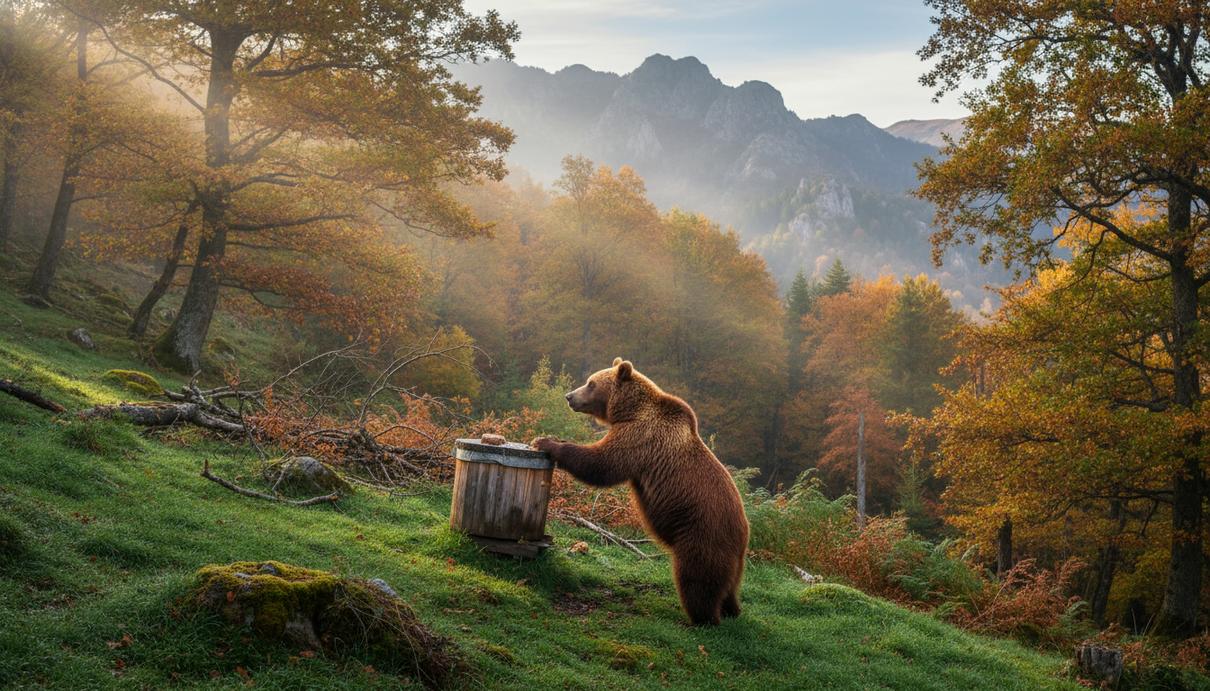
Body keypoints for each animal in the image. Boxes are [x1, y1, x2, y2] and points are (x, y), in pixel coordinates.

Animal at [532, 358, 749, 626]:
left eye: (591, 383)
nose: (569, 396)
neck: (629, 411)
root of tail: (743, 534)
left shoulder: (640, 437)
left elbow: (601, 463)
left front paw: (546, 442)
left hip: (702, 535)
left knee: (696, 580)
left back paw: (702, 619)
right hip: (733, 558)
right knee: (730, 587)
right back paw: (732, 610)